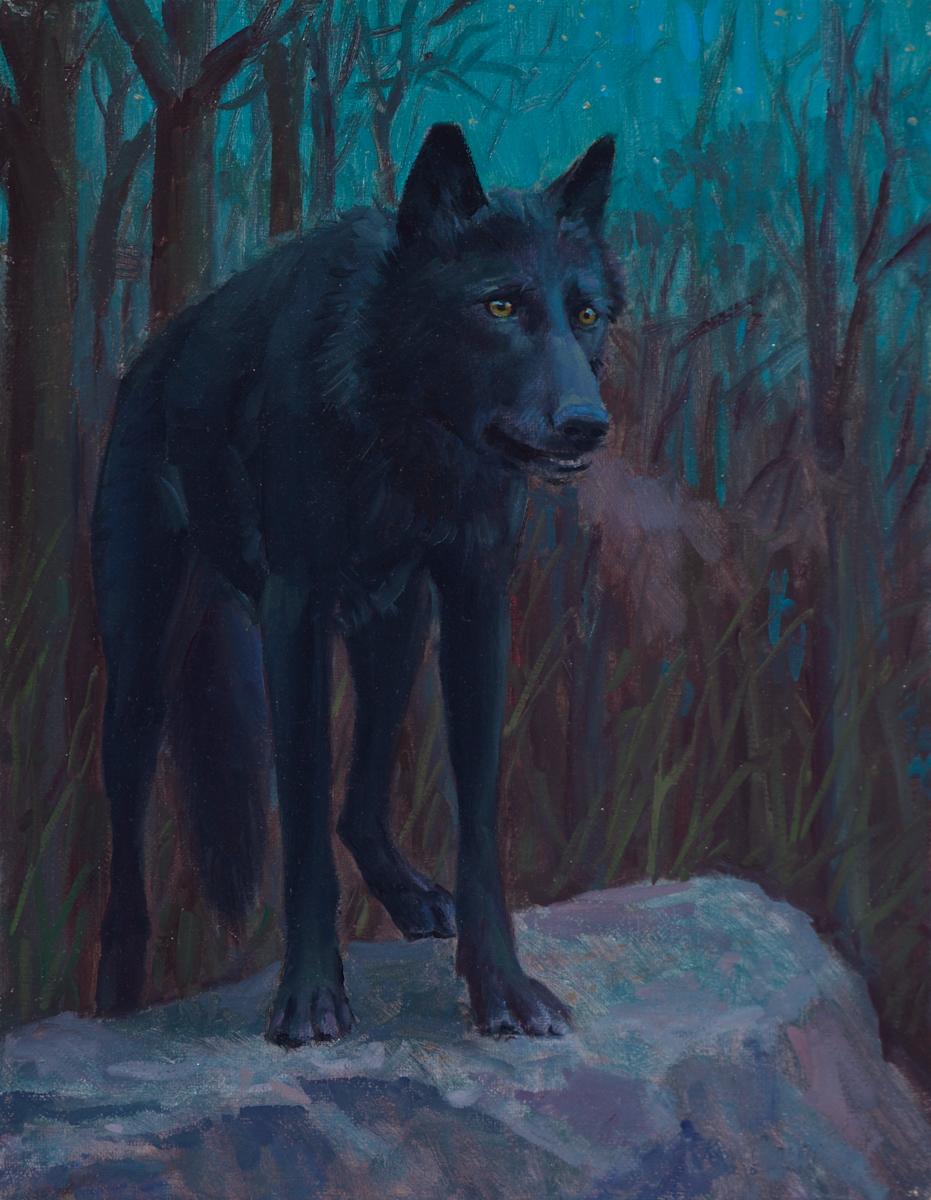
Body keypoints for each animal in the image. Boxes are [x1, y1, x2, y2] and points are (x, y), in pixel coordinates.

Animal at [92, 123, 622, 1046]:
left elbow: (477, 819)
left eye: (585, 314)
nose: (585, 424)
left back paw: (410, 897)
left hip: (394, 628)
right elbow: (301, 821)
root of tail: (150, 357)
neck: (400, 428)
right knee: (127, 826)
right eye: (499, 308)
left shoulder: (475, 597)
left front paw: (502, 989)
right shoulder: (294, 613)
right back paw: (119, 984)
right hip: (141, 673)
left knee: (361, 799)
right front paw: (308, 997)